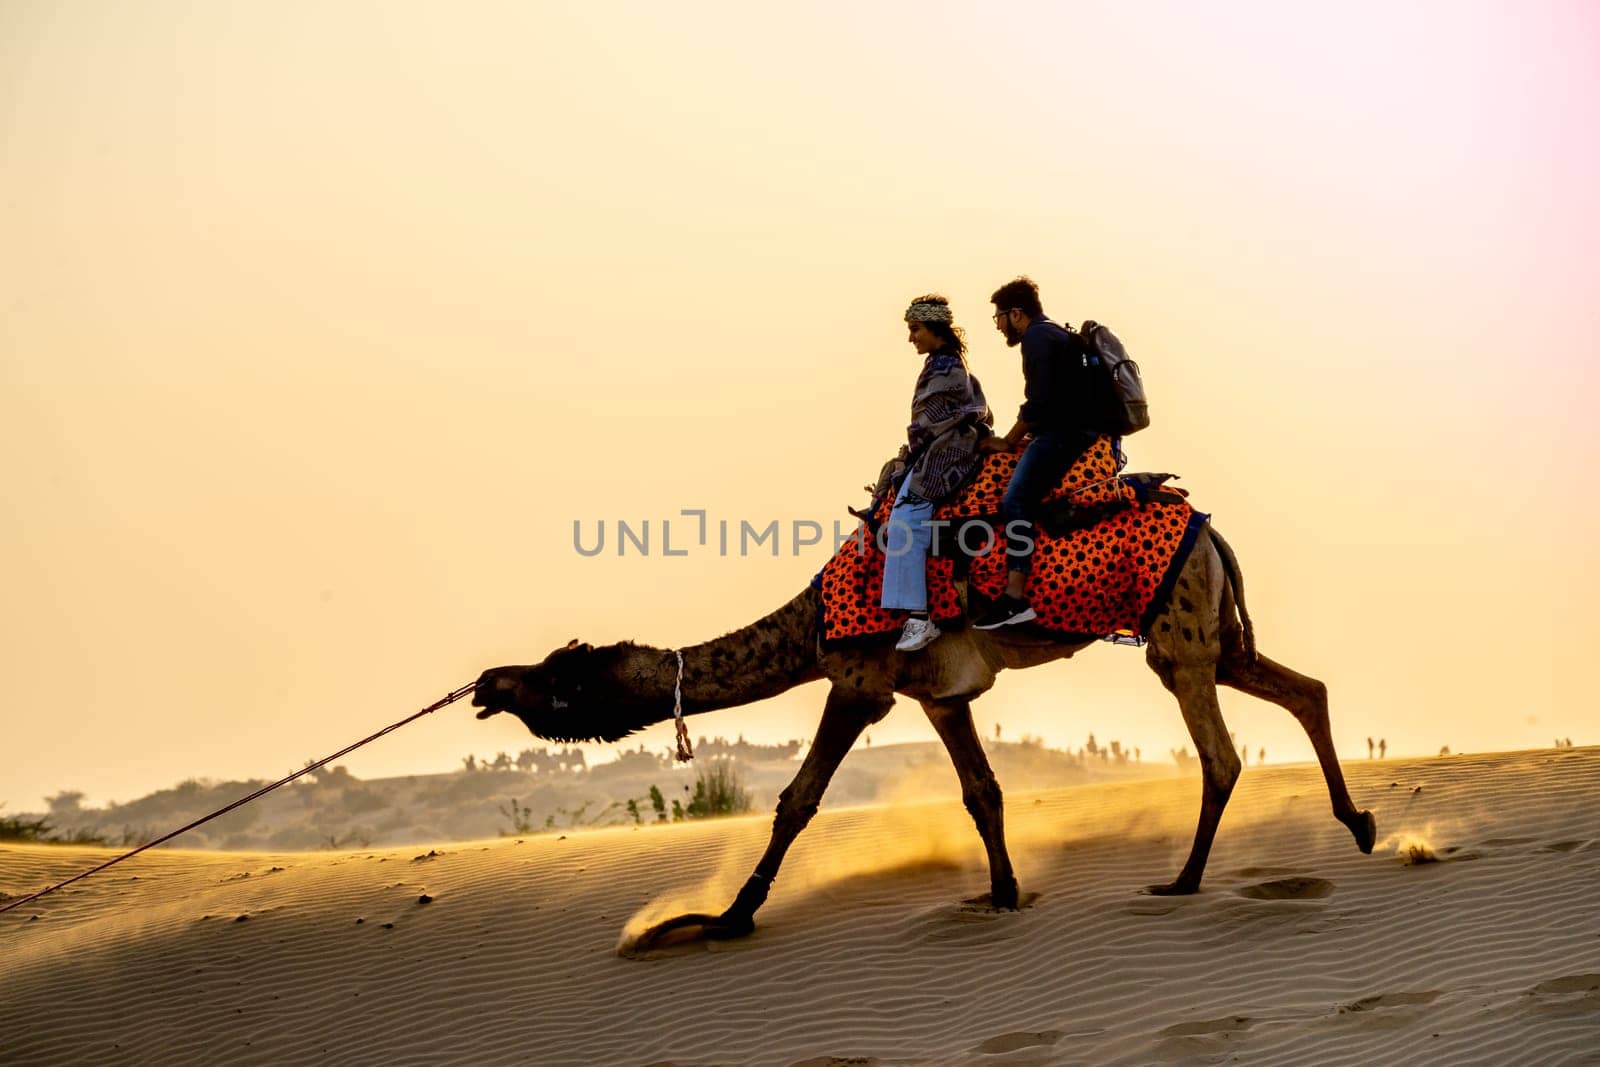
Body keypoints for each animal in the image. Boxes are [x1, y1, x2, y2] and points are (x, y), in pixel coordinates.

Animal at [470, 521, 1376, 947]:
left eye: (557, 678)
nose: (486, 685)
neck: (809, 621)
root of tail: (1213, 532)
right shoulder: (941, 694)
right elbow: (983, 791)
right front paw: (1004, 894)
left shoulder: (858, 681)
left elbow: (798, 800)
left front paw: (724, 919)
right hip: (1208, 631)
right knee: (1306, 689)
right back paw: (1359, 823)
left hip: (1177, 628)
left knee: (1220, 751)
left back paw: (1183, 882)